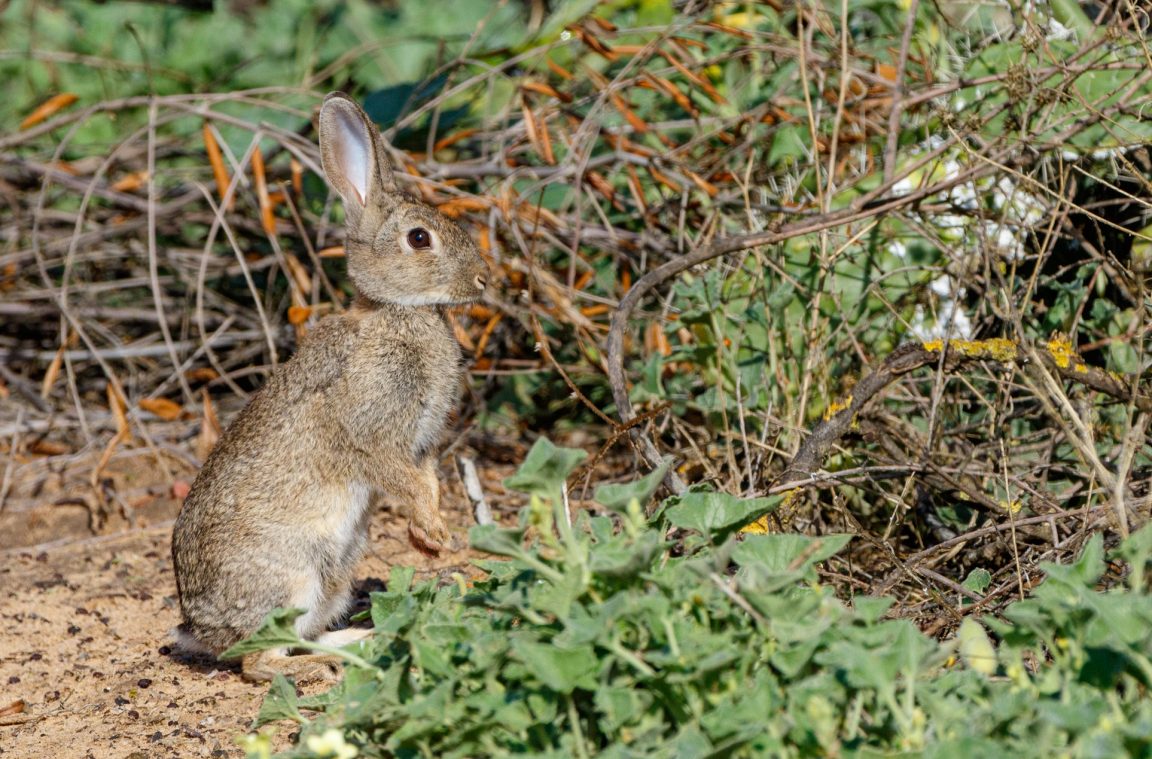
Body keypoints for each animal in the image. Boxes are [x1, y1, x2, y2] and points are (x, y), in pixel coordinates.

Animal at [170, 92, 489, 683]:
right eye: (419, 238)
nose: (484, 280)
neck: (396, 312)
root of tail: (199, 629)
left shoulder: (421, 445)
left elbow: (428, 480)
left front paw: (428, 540)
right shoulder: (372, 432)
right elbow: (402, 479)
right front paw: (435, 533)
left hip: (335, 573)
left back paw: (364, 640)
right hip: (293, 576)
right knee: (260, 662)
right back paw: (322, 667)